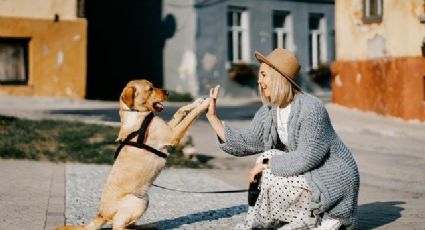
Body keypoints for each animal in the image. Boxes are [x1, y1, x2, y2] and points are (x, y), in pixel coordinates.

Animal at [58, 79, 210, 230]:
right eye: (150, 89)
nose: (168, 92)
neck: (136, 114)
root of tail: (101, 214)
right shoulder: (173, 135)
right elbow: (191, 116)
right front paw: (206, 104)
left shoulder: (169, 128)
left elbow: (180, 111)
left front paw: (197, 102)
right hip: (137, 201)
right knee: (118, 226)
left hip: (145, 199)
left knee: (130, 224)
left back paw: (147, 226)